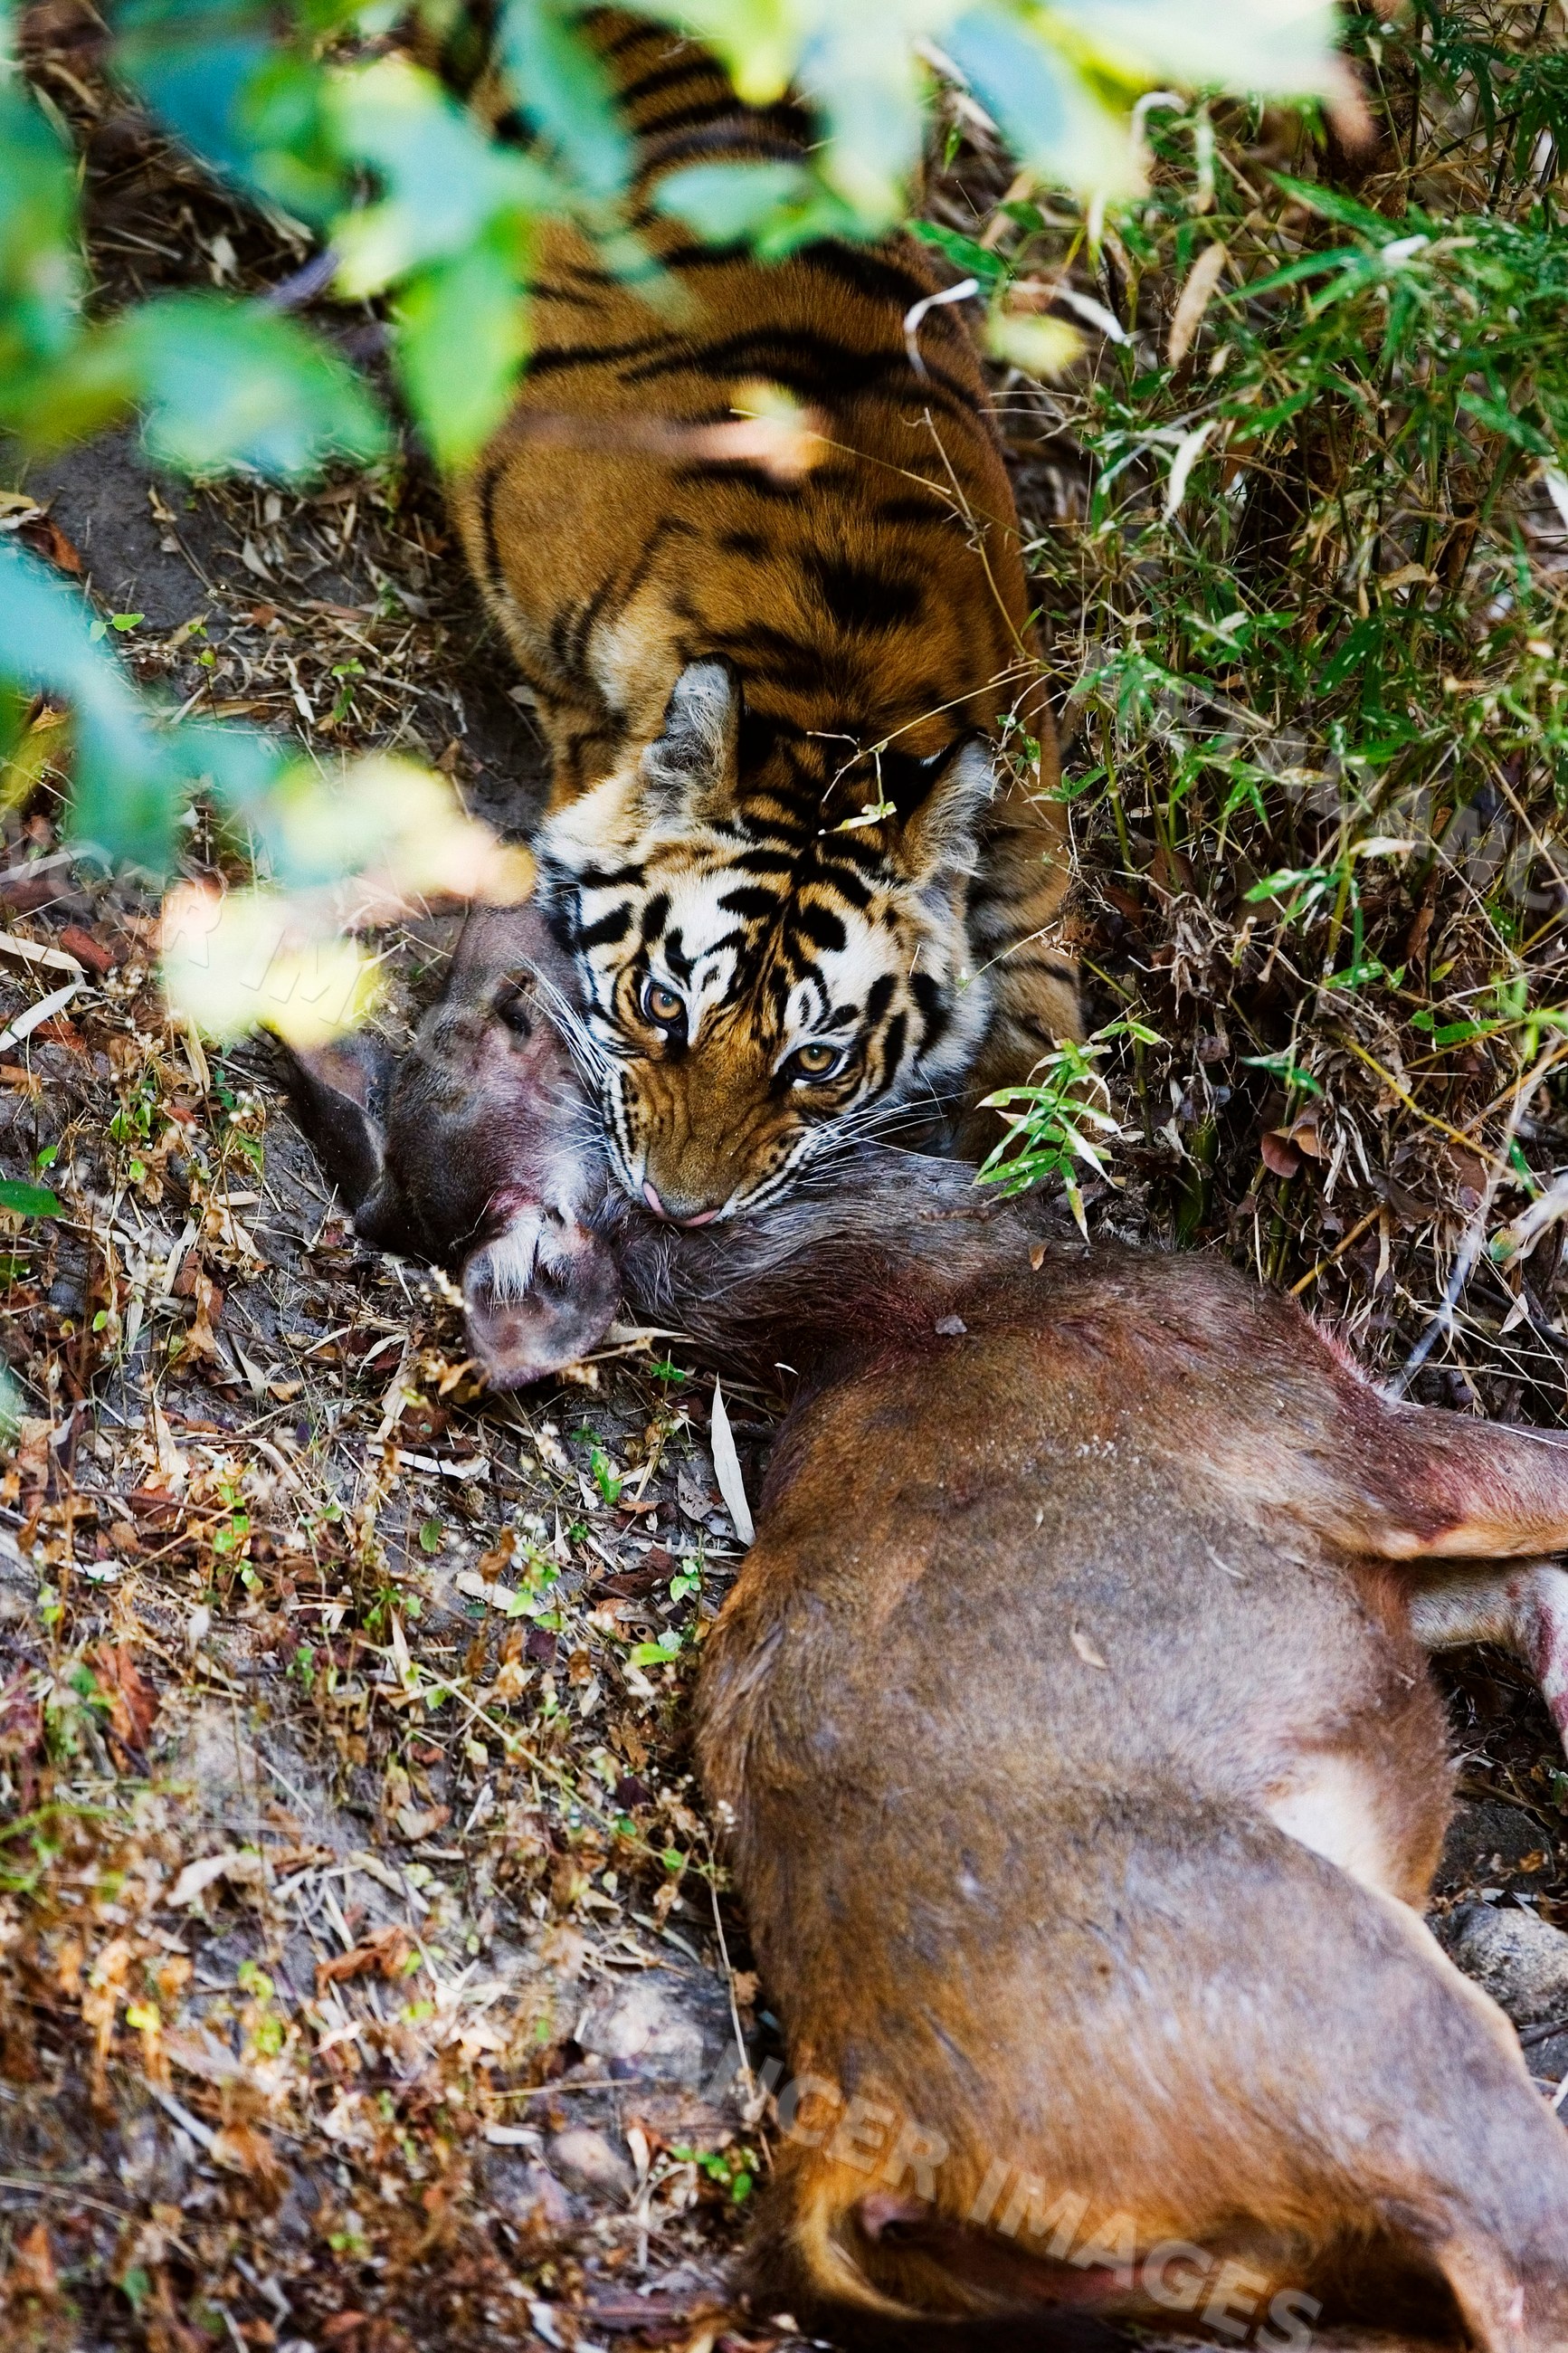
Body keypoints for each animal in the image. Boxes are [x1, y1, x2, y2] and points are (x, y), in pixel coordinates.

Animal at [283, 901, 1568, 2348]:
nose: (495, 907)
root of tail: (848, 2148)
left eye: (488, 1007)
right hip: (1398, 2058)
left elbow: (1528, 1587)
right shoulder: (1339, 1433)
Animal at [443, 5, 1080, 1226]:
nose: (678, 1209)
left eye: (815, 1059)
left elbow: (1047, 973)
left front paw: (1031, 1139)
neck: (835, 693)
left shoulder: (1027, 782)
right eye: (659, 1001)